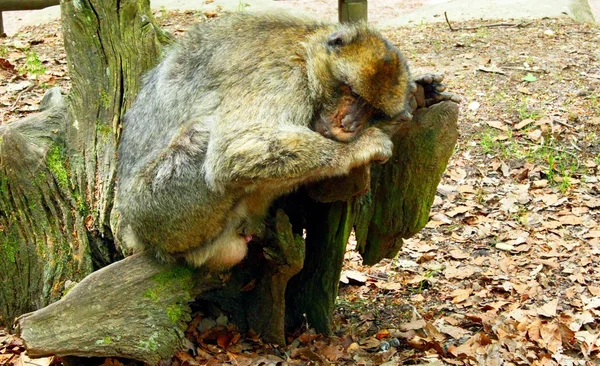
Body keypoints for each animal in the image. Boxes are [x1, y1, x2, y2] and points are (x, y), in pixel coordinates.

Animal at [117, 12, 418, 270]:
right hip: (156, 212)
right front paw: (363, 146)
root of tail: (133, 233)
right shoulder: (284, 76)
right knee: (203, 132)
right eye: (351, 91)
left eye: (371, 109)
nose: (348, 125)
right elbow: (236, 151)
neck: (307, 54)